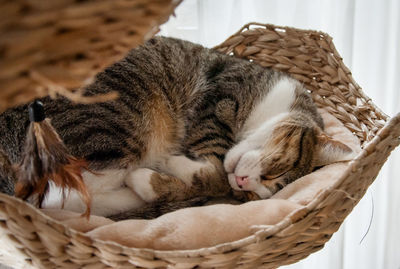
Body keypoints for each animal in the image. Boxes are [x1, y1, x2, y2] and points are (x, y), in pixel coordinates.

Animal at [0, 36, 354, 218]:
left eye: (254, 194)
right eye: (274, 170)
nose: (243, 182)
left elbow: (213, 180)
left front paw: (162, 178)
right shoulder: (221, 99)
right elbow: (214, 166)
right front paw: (169, 169)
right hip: (110, 123)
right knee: (66, 193)